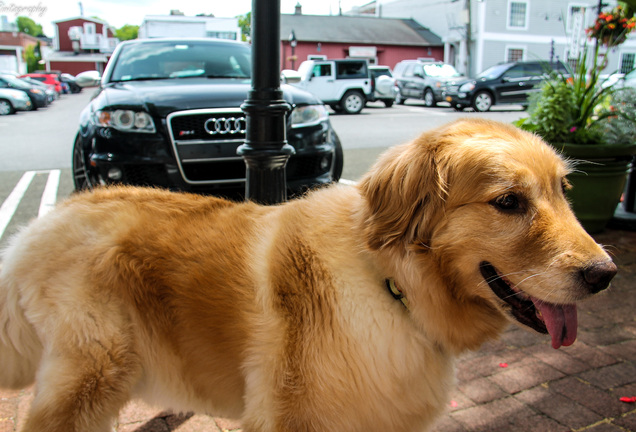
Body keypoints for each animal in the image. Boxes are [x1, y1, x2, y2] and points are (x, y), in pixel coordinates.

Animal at [0, 119, 616, 432]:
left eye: (563, 190)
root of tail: (45, 221)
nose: (606, 274)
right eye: (508, 202)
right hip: (91, 375)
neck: (392, 286)